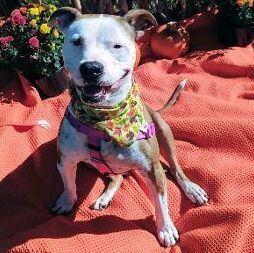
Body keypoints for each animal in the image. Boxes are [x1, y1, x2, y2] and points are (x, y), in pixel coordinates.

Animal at [48, 8, 208, 247]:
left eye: (117, 46)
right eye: (76, 42)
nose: (91, 68)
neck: (105, 119)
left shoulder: (152, 169)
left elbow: (161, 202)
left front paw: (166, 228)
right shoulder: (65, 159)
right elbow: (69, 185)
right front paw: (67, 202)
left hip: (164, 133)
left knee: (175, 168)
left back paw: (191, 189)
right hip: (89, 163)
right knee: (117, 177)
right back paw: (104, 197)